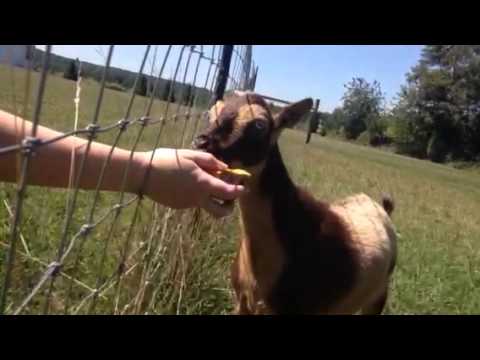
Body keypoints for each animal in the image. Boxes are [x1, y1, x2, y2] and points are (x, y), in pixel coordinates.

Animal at [193, 91, 396, 314]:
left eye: (259, 125)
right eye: (211, 113)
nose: (201, 144)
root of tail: (382, 208)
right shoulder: (242, 300)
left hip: (379, 294)